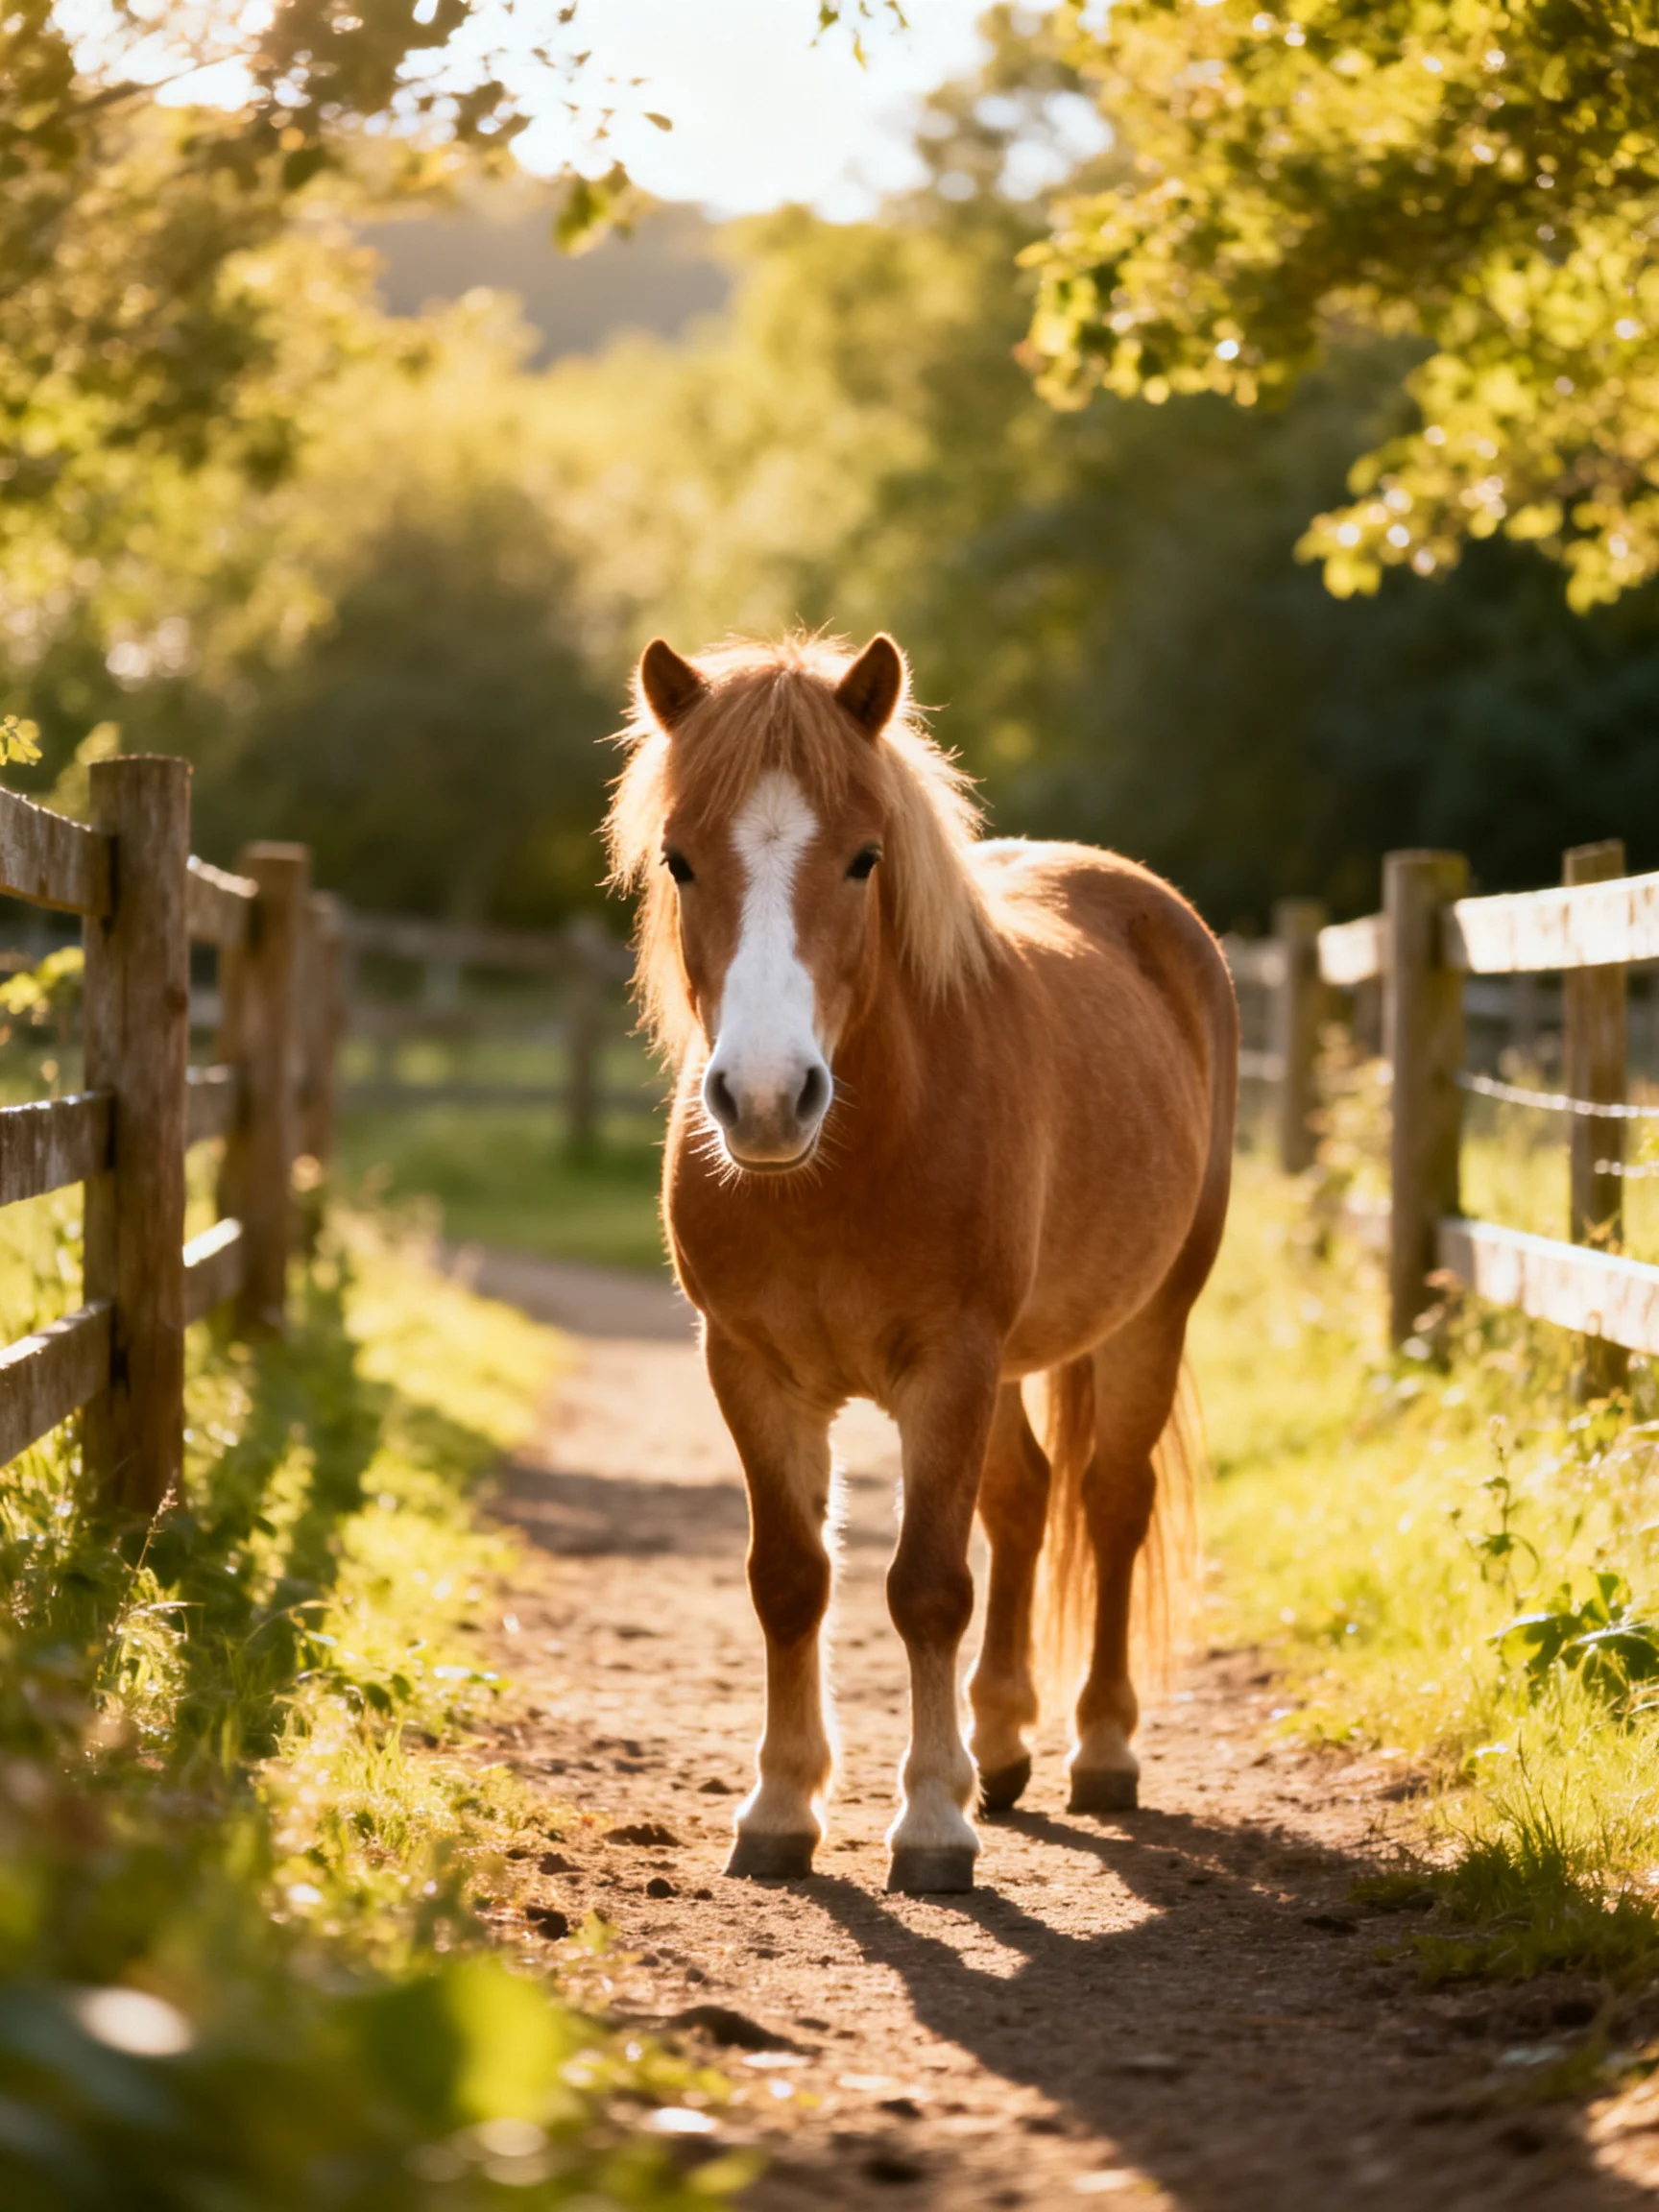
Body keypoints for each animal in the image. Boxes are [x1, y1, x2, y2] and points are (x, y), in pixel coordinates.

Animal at [604, 631, 1237, 1894]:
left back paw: (1100, 1748)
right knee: (1028, 1500)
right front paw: (781, 1808)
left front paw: (934, 1824)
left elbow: (928, 1586)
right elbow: (791, 1578)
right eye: (679, 860)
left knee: (1111, 1502)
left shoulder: (947, 1366)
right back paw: (1002, 1744)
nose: (764, 1099)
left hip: (1152, 1316)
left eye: (864, 859)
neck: (841, 1167)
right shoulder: (750, 1369)